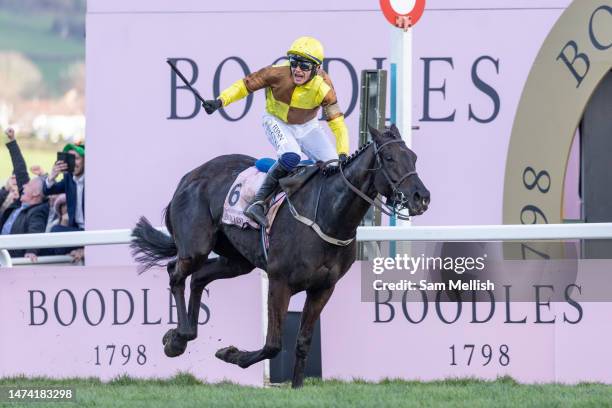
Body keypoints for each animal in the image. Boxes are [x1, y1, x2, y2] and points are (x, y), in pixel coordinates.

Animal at [131, 125, 428, 388]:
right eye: (389, 158)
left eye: (413, 157)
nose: (421, 197)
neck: (328, 215)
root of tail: (190, 176)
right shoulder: (279, 281)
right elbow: (273, 344)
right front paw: (230, 354)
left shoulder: (323, 288)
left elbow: (303, 342)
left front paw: (296, 388)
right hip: (196, 248)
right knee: (176, 273)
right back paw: (177, 339)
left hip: (237, 261)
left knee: (199, 278)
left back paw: (183, 334)